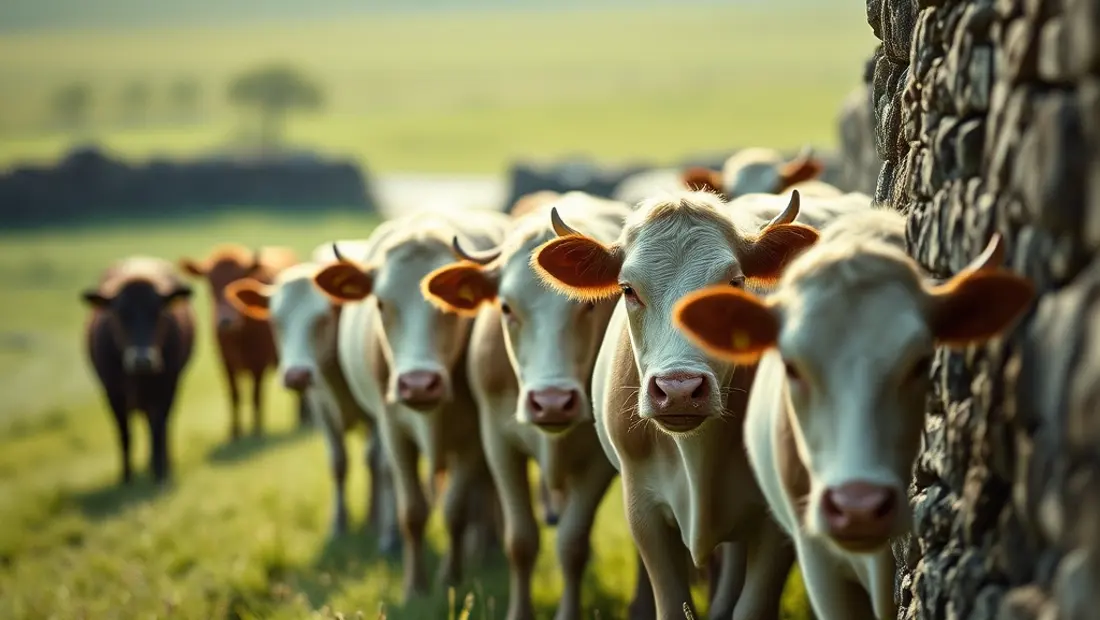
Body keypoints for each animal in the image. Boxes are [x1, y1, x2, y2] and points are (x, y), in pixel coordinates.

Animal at [82, 256, 195, 484]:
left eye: (158, 312)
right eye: (121, 313)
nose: (142, 360)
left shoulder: (167, 387)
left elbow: (159, 429)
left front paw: (161, 474)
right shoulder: (112, 392)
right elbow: (124, 433)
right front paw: (127, 477)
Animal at [178, 244, 303, 441]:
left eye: (239, 277)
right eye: (211, 283)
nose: (225, 320)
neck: (239, 335)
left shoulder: (259, 362)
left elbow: (255, 396)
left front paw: (256, 430)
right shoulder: (225, 363)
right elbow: (234, 395)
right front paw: (235, 432)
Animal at [223, 242, 399, 549]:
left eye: (322, 319)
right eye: (276, 321)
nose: (296, 375)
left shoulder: (377, 414)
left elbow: (377, 462)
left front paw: (382, 525)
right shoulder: (321, 410)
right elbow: (338, 463)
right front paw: (339, 524)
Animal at [310, 210, 510, 600]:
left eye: (448, 307)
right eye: (380, 303)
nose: (418, 383)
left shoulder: (472, 438)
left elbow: (455, 510)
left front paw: (450, 576)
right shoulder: (393, 432)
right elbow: (412, 511)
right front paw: (415, 585)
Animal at [420, 192, 660, 620]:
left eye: (588, 307)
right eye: (505, 307)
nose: (552, 403)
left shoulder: (598, 460)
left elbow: (572, 544)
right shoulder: (498, 443)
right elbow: (521, 541)